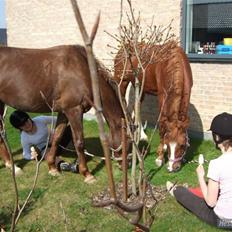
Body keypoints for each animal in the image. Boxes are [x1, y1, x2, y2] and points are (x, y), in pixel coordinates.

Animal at [0, 44, 125, 181]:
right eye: (128, 138)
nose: (126, 164)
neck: (82, 69)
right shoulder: (74, 110)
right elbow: (79, 142)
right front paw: (87, 174)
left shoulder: (63, 112)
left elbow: (57, 137)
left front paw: (52, 168)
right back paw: (13, 167)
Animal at [113, 42, 192, 172]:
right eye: (168, 143)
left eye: (182, 145)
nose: (173, 168)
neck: (173, 62)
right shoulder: (162, 96)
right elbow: (162, 123)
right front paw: (160, 157)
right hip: (121, 81)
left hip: (139, 84)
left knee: (137, 106)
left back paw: (141, 135)